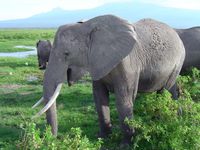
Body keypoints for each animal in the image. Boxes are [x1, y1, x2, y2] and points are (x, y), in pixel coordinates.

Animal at [32, 14, 185, 143]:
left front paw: (125, 144)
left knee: (165, 92)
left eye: (67, 53)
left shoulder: (127, 63)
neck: (87, 26)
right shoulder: (96, 62)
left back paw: (163, 121)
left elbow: (123, 100)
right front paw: (103, 138)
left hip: (178, 62)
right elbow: (99, 98)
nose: (53, 139)